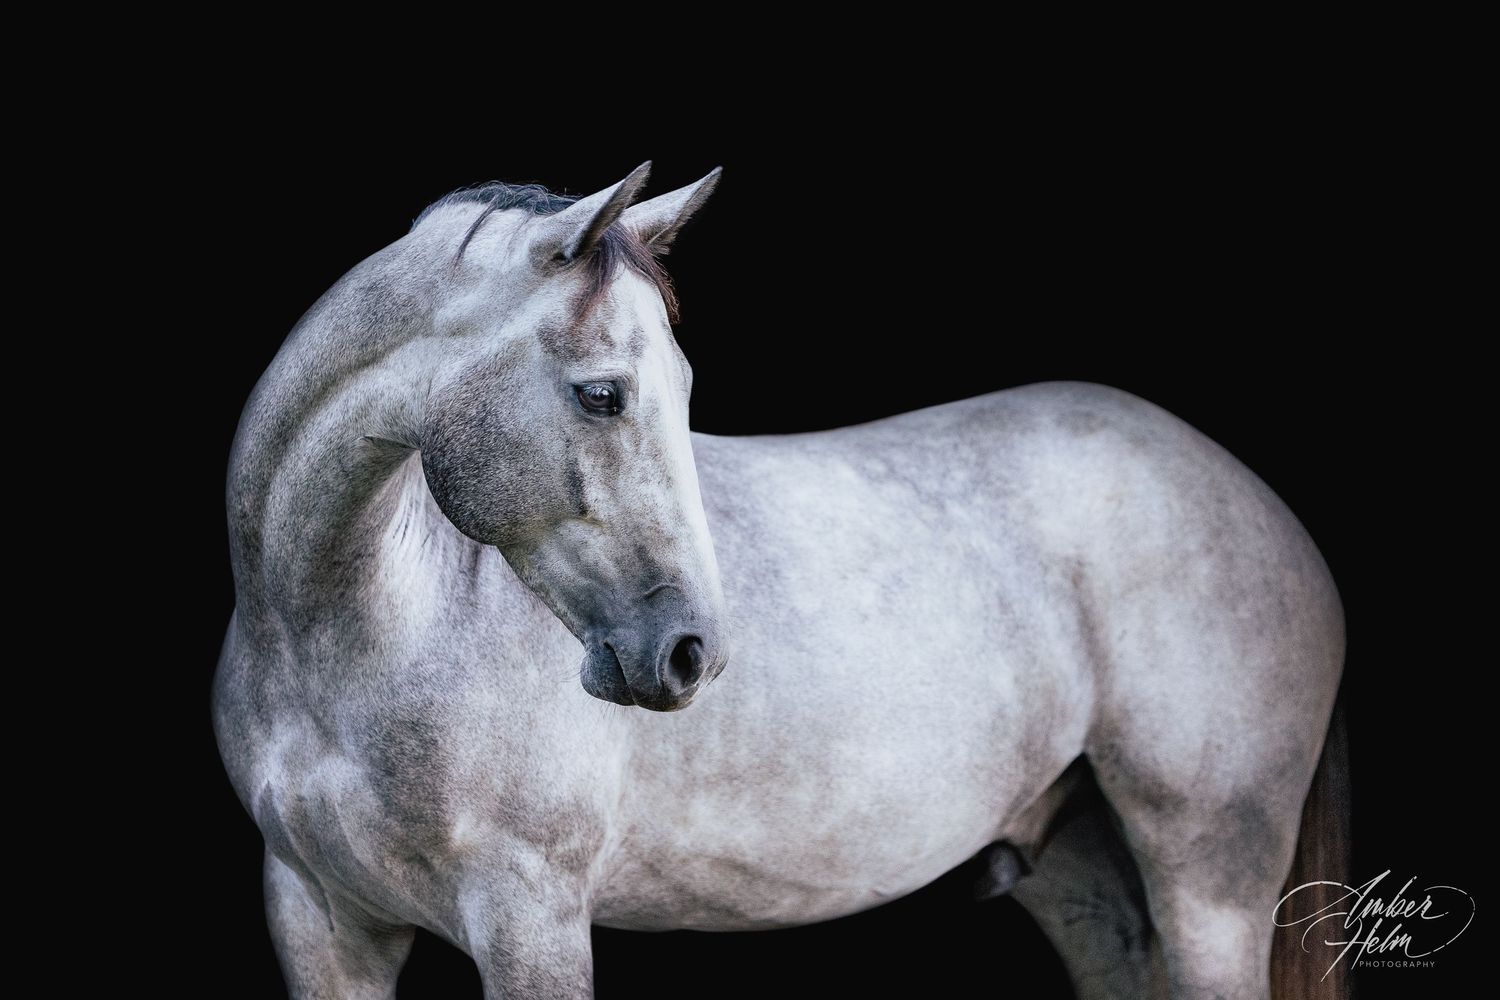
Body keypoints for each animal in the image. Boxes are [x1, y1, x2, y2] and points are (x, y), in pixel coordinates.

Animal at [213, 162, 1349, 1000]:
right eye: (602, 393)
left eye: (679, 389)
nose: (690, 654)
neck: (356, 633)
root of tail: (1266, 509)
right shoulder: (321, 924)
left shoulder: (531, 918)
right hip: (1090, 882)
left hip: (1210, 884)